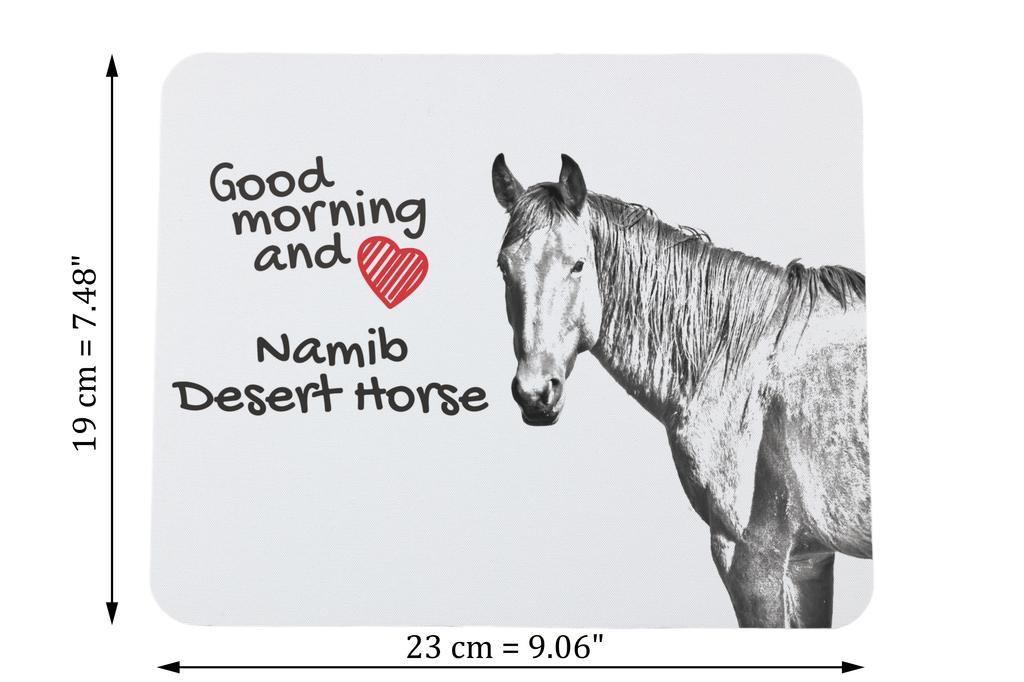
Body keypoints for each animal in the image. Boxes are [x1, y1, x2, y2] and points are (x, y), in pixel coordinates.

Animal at [490, 153, 870, 628]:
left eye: (577, 264)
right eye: (504, 266)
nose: (535, 392)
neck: (740, 359)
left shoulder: (753, 556)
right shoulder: (809, 560)